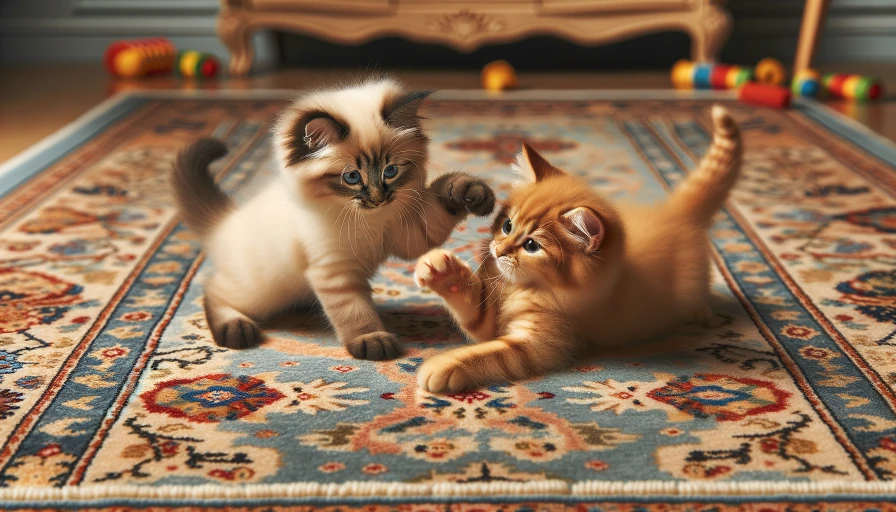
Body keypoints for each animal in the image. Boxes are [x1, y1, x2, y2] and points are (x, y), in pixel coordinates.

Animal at [173, 81, 496, 360]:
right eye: (351, 177)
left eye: (390, 171)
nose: (378, 198)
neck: (367, 220)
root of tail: (224, 221)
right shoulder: (334, 271)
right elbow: (354, 312)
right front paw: (372, 341)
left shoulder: (405, 233)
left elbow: (443, 202)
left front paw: (467, 191)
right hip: (260, 291)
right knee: (213, 289)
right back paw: (236, 329)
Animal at [412, 104, 744, 392]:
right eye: (507, 225)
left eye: (531, 245)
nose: (498, 250)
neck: (523, 289)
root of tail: (674, 213)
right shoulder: (489, 312)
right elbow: (472, 309)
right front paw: (443, 272)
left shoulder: (538, 343)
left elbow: (489, 353)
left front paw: (442, 367)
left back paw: (700, 312)